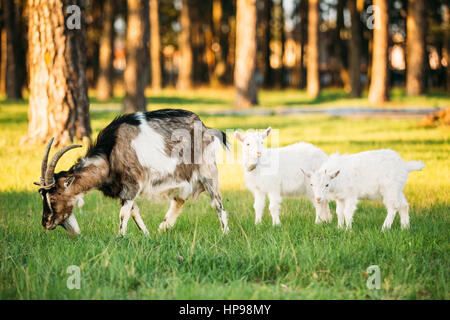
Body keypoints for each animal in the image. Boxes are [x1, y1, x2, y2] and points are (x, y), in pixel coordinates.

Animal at [35, 109, 230, 235]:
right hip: (183, 178)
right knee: (179, 200)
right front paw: (146, 234)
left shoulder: (132, 184)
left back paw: (225, 232)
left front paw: (120, 237)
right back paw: (163, 228)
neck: (110, 153)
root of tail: (205, 127)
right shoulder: (124, 190)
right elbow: (134, 212)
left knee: (217, 203)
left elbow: (124, 213)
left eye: (53, 197)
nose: (45, 222)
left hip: (208, 172)